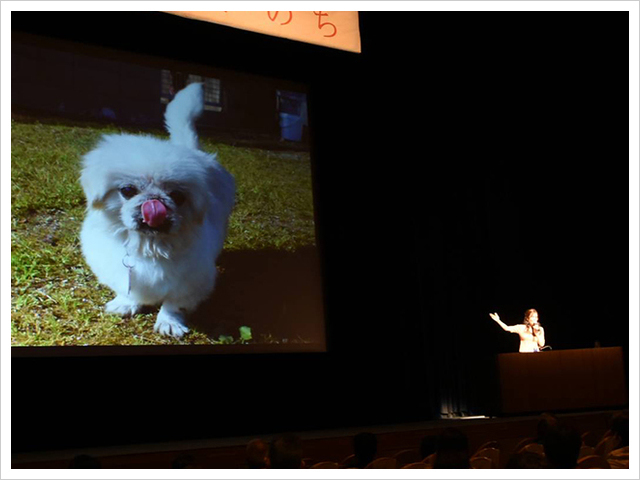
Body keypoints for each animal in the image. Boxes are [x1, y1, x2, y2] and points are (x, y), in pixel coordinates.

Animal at [80, 83, 235, 338]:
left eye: (177, 196)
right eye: (128, 190)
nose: (155, 201)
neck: (147, 246)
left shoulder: (191, 280)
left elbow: (174, 303)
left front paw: (169, 322)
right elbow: (128, 290)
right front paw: (125, 303)